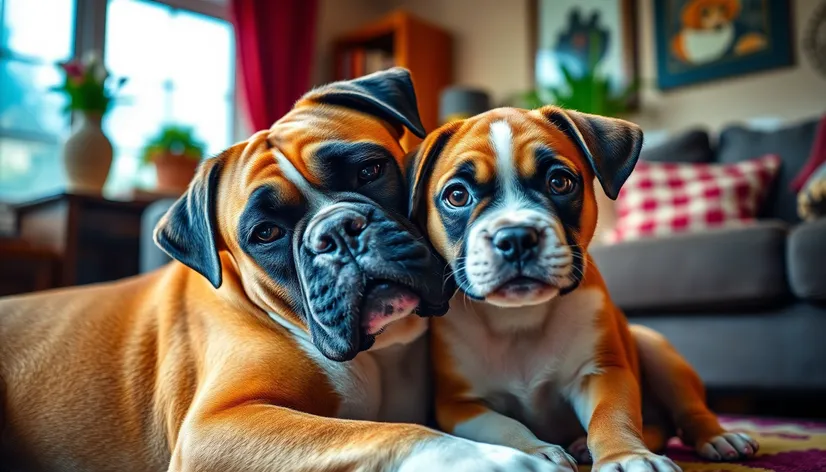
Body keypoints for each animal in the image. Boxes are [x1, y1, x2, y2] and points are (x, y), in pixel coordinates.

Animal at [1, 69, 560, 472]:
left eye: (371, 170)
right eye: (266, 233)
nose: (338, 231)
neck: (379, 353)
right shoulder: (217, 427)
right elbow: (389, 432)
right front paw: (497, 461)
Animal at [406, 107, 760, 472]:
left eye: (559, 182)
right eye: (457, 195)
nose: (516, 237)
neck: (519, 317)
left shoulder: (603, 374)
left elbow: (611, 417)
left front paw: (627, 455)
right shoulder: (461, 406)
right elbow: (502, 426)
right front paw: (533, 451)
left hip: (656, 349)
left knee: (690, 412)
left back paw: (719, 438)